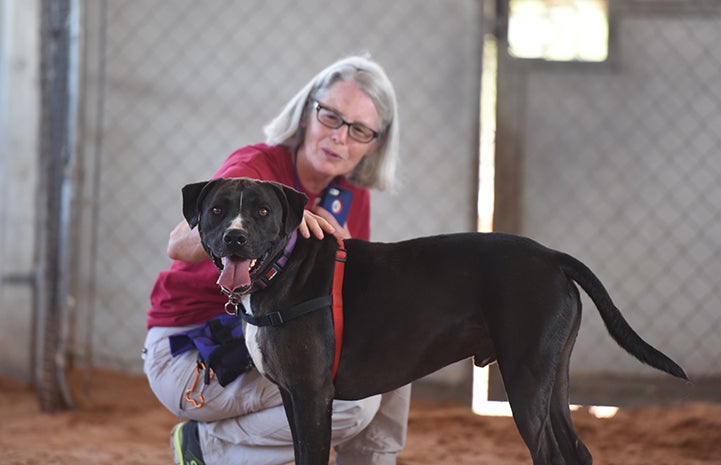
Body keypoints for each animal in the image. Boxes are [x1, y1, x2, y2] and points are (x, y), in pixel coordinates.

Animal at [180, 177, 688, 464]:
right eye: (217, 210)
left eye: (263, 211)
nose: (235, 237)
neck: (283, 268)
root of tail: (552, 257)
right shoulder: (292, 394)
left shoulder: (311, 395)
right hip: (553, 379)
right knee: (575, 450)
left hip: (525, 381)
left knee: (547, 454)